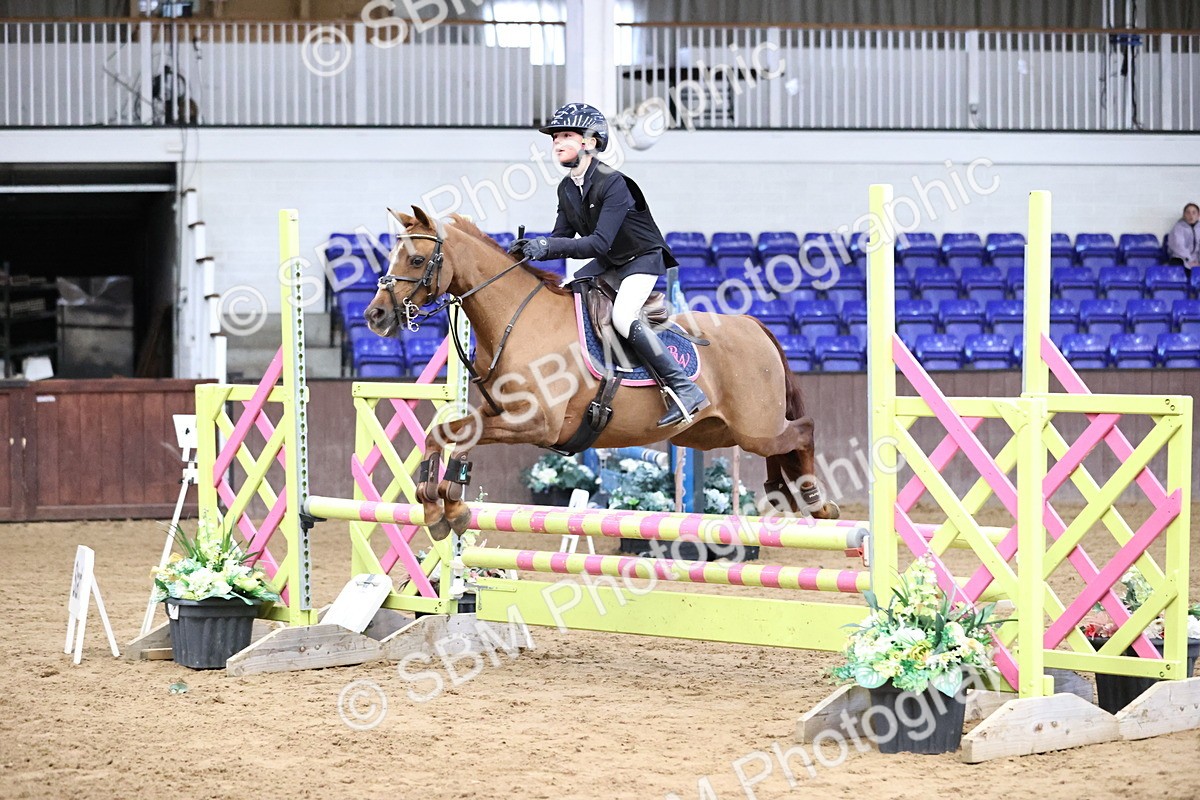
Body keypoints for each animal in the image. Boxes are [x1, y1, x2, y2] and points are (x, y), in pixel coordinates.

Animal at [365, 206, 840, 537]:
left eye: (416, 259)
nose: (375, 316)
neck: (517, 319)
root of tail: (754, 325)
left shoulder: (538, 424)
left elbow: (459, 435)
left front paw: (451, 504)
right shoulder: (502, 415)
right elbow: (444, 434)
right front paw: (438, 507)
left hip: (754, 428)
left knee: (804, 430)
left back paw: (815, 501)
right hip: (712, 433)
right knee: (783, 444)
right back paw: (782, 492)